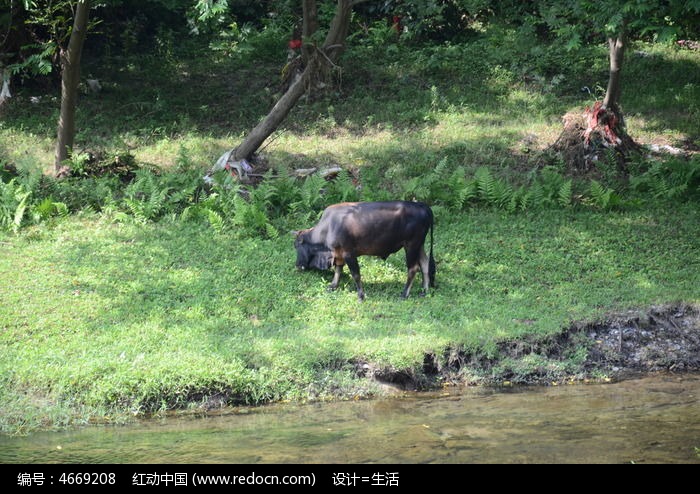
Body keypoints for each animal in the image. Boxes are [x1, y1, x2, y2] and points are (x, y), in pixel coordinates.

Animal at [292, 201, 434, 302]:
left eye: (296, 246)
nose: (297, 265)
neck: (328, 227)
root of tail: (422, 205)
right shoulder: (339, 254)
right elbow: (338, 270)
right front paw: (333, 286)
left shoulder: (349, 254)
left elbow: (356, 275)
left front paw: (361, 296)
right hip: (419, 245)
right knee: (425, 263)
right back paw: (425, 290)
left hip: (411, 245)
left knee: (413, 268)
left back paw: (404, 294)